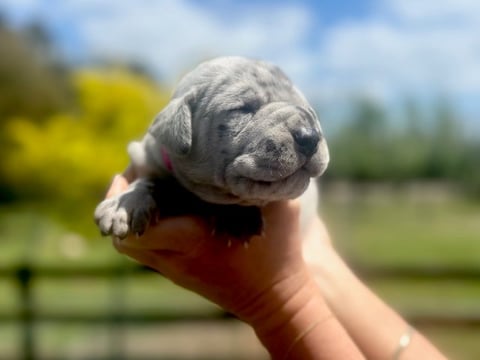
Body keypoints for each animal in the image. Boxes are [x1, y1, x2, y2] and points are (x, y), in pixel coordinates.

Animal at [95, 56, 328, 240]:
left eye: (308, 111)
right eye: (243, 109)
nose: (310, 136)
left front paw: (238, 217)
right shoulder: (147, 157)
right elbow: (153, 181)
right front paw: (126, 203)